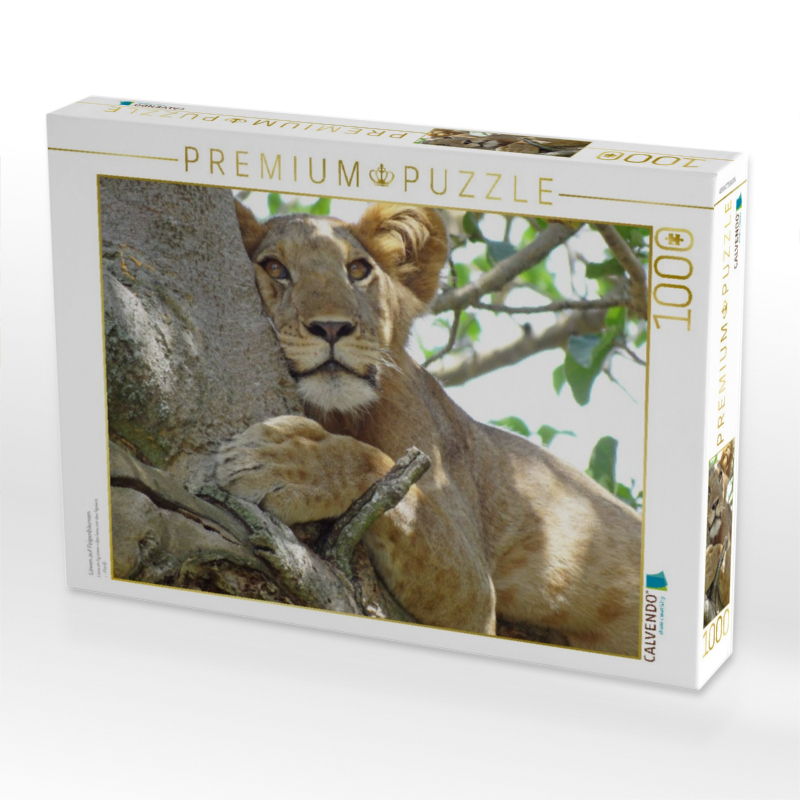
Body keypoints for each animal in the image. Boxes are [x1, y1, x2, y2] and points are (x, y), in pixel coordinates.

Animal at [216, 200, 643, 657]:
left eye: (357, 270)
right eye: (274, 267)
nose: (332, 327)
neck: (337, 414)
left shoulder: (475, 593)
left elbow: (374, 465)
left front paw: (280, 462)